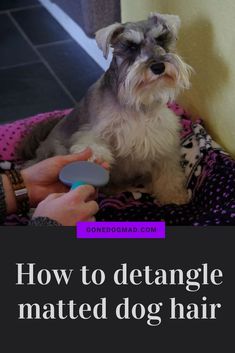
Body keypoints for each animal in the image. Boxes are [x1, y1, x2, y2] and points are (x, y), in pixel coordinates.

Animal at [20, 13, 193, 204]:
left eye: (161, 39)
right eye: (131, 46)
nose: (158, 66)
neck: (137, 105)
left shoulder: (163, 144)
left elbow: (169, 173)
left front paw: (173, 196)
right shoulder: (94, 131)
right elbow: (91, 144)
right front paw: (93, 158)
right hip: (56, 149)